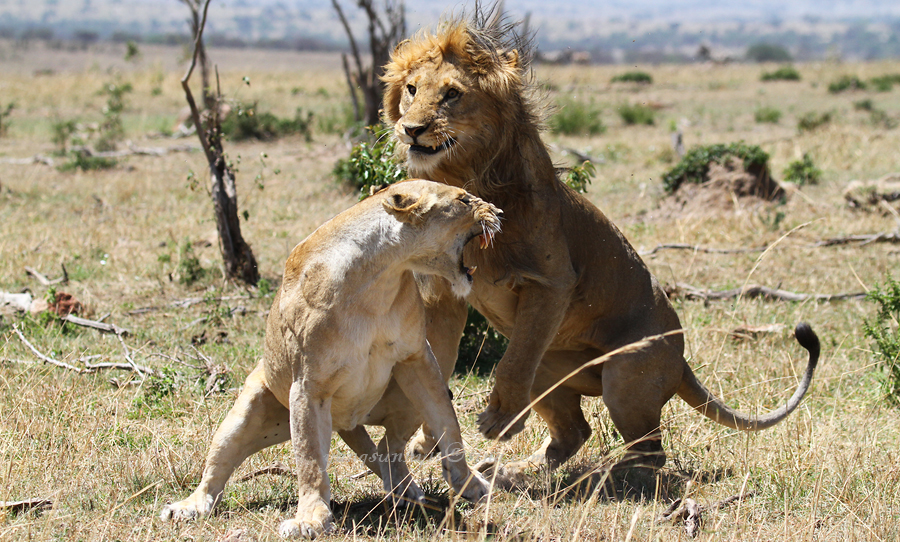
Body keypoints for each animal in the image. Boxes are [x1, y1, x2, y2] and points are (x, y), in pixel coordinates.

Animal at [161, 182, 500, 540]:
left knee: (387, 449)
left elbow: (448, 424)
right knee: (216, 467)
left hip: (405, 394)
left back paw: (407, 494)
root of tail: (348, 423)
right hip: (247, 414)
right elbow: (310, 460)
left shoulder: (417, 360)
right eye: (463, 199)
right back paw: (188, 506)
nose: (498, 212)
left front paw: (468, 482)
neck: (380, 276)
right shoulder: (308, 387)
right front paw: (311, 519)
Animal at [376, 11, 820, 480]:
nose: (412, 129)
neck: (464, 177)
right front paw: (428, 441)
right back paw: (513, 473)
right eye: (412, 89)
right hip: (549, 367)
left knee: (649, 449)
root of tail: (682, 362)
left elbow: (512, 364)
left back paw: (610, 476)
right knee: (575, 431)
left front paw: (500, 419)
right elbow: (439, 360)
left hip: (625, 377)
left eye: (452, 94)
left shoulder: (551, 282)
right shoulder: (442, 295)